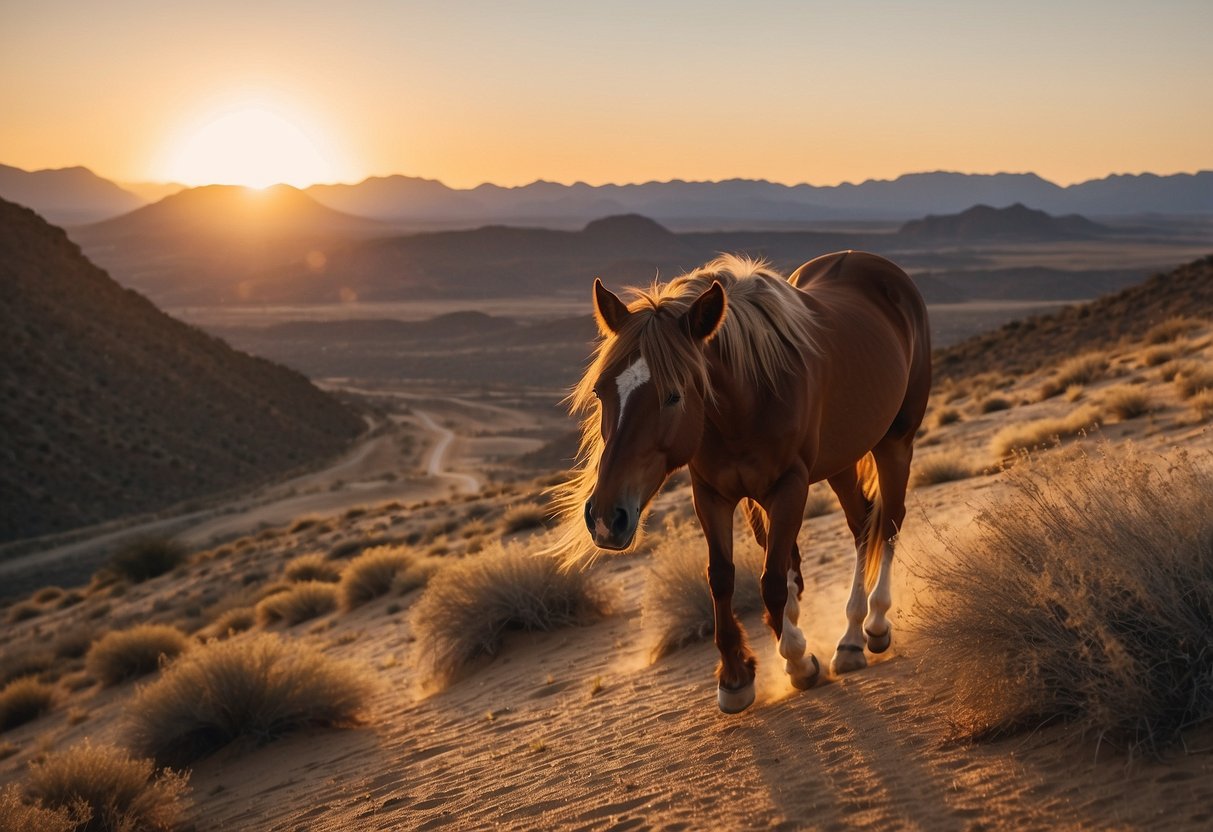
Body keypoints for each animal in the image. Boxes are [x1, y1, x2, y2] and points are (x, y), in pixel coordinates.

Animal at [555, 251, 931, 713]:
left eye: (674, 395)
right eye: (600, 391)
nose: (607, 518)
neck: (748, 402)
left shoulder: (790, 487)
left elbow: (771, 580)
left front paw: (797, 659)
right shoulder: (711, 494)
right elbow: (724, 576)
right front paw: (736, 675)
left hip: (896, 441)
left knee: (890, 523)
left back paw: (873, 625)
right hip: (840, 460)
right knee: (862, 527)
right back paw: (849, 642)